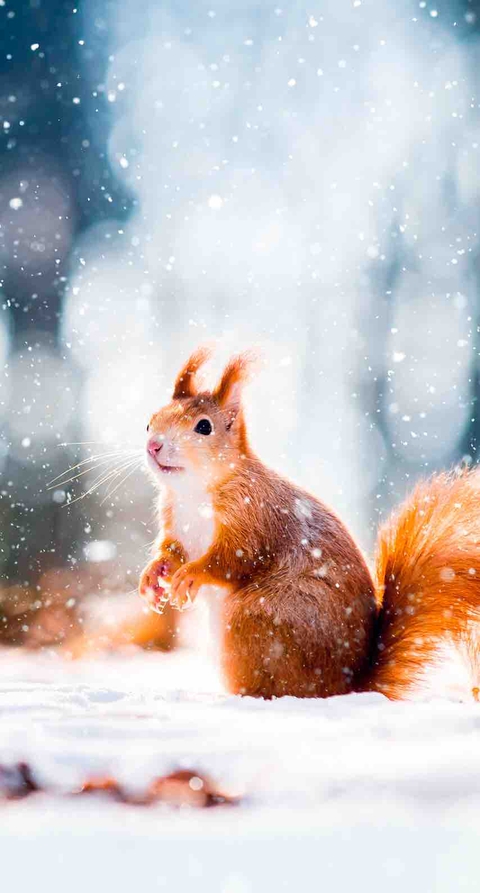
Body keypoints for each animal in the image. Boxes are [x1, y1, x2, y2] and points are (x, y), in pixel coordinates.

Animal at [139, 346, 480, 700]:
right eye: (150, 421)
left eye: (204, 427)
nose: (154, 446)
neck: (194, 492)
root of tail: (345, 685)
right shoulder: (174, 521)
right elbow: (172, 550)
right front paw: (154, 574)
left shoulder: (253, 516)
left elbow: (234, 559)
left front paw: (191, 574)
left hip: (257, 619)